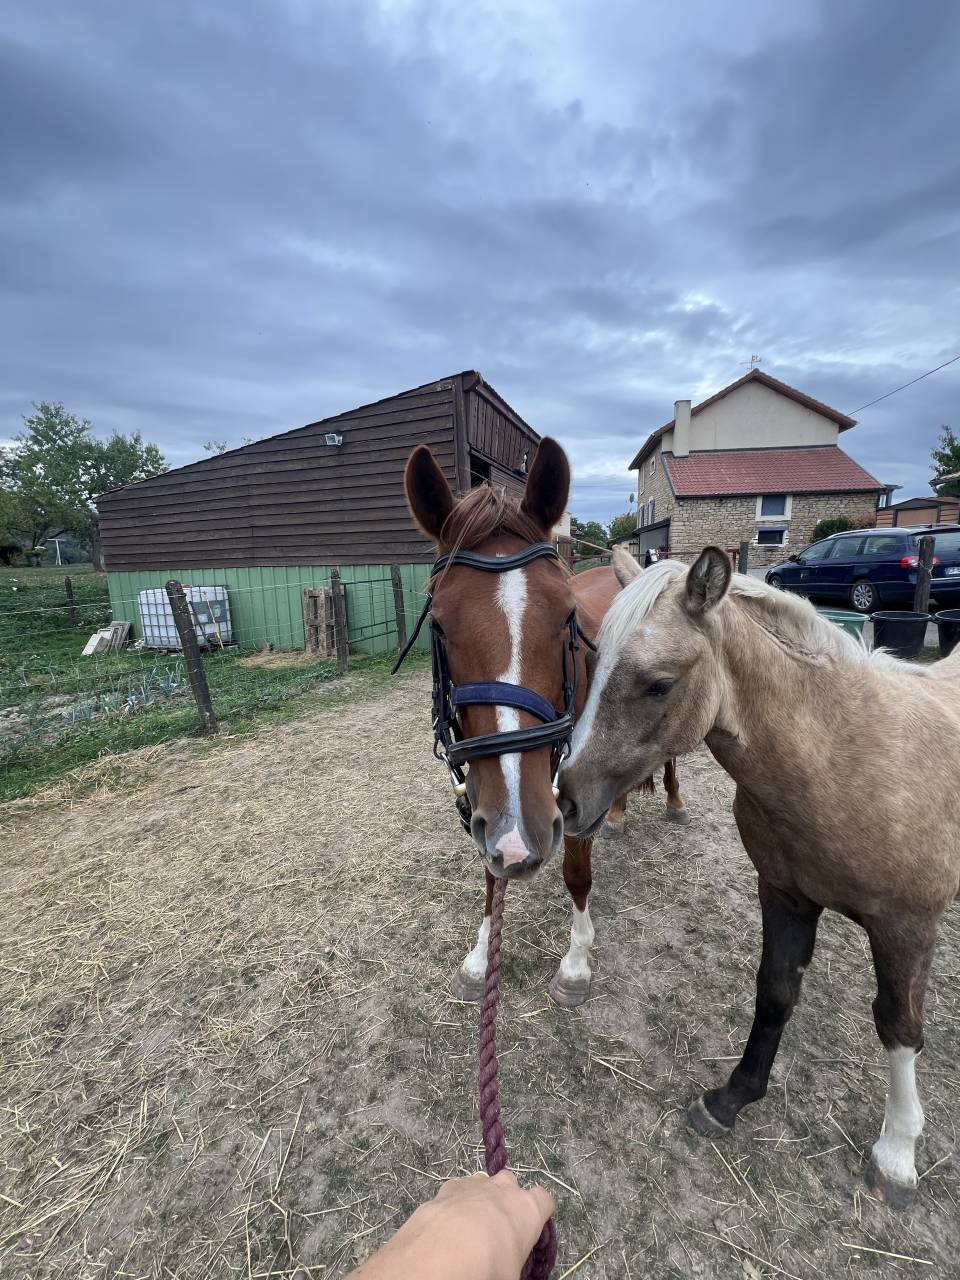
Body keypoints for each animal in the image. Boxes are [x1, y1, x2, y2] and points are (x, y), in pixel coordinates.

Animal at [402, 438, 688, 1006]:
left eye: (566, 616)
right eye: (438, 625)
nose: (520, 830)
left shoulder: (560, 794)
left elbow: (577, 874)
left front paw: (575, 964)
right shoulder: (489, 801)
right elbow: (491, 874)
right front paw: (479, 957)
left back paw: (672, 801)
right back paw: (616, 813)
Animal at [559, 545, 960, 1206]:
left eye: (658, 684)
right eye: (591, 667)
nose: (565, 798)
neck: (843, 760)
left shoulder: (907, 928)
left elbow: (900, 1027)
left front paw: (897, 1154)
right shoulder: (784, 895)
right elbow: (774, 993)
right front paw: (732, 1098)